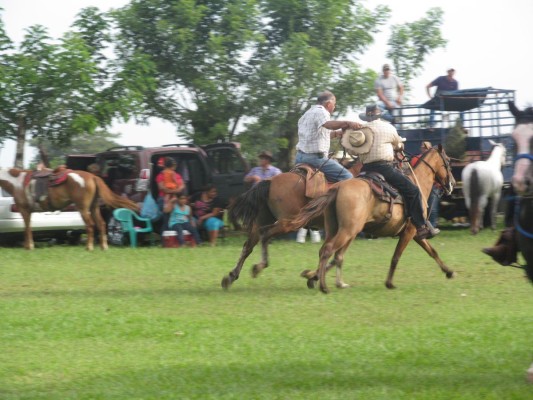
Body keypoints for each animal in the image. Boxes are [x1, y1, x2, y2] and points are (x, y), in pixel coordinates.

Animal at [0, 168, 139, 250]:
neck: (17, 183)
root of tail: (93, 177)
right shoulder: (28, 212)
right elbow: (28, 228)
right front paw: (29, 246)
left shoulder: (25, 210)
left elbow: (26, 228)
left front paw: (29, 247)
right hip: (94, 207)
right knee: (101, 224)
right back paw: (103, 247)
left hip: (83, 208)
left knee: (90, 225)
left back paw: (89, 247)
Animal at [220, 159, 362, 288]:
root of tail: (270, 181)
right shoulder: (349, 231)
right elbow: (334, 255)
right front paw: (313, 277)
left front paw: (313, 277)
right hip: (288, 223)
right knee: (265, 235)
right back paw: (259, 266)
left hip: (262, 221)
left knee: (248, 246)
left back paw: (231, 277)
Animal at [284, 145, 456, 292]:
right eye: (447, 161)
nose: (452, 184)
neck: (418, 183)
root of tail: (337, 188)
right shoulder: (410, 231)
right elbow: (396, 257)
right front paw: (389, 283)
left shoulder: (414, 233)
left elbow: (432, 251)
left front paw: (449, 272)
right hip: (348, 230)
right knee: (329, 251)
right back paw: (324, 286)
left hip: (336, 229)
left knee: (327, 252)